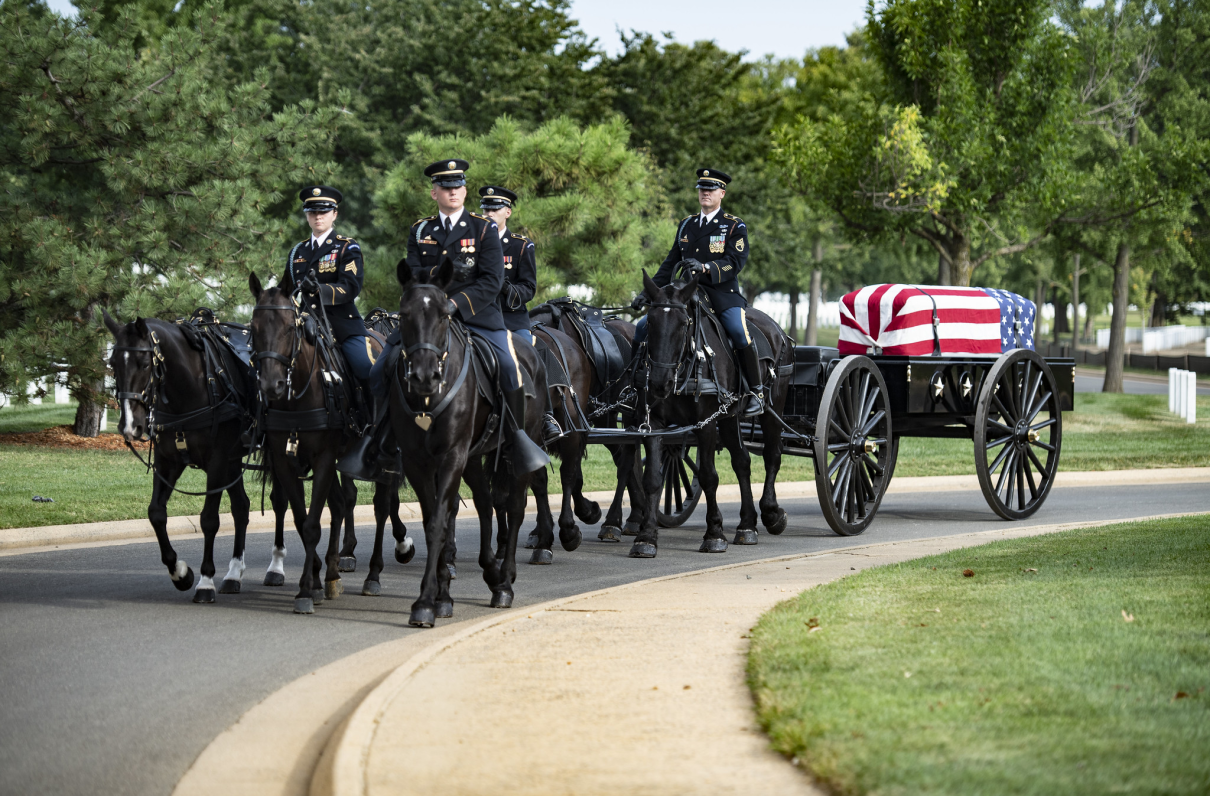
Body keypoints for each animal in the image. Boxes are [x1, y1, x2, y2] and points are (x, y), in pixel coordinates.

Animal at [104, 309, 255, 602]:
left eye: (144, 363)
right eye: (113, 363)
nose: (129, 426)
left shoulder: (217, 463)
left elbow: (209, 520)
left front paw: (205, 581)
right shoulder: (168, 463)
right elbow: (156, 513)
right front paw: (180, 573)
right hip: (234, 462)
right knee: (242, 507)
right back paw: (234, 574)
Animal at [387, 257, 549, 624]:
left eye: (445, 315)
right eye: (404, 314)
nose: (423, 376)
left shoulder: (451, 456)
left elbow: (438, 524)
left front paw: (425, 602)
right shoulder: (418, 462)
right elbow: (436, 521)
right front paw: (440, 595)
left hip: (517, 449)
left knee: (515, 507)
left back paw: (505, 582)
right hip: (474, 457)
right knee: (486, 503)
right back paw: (491, 572)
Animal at [629, 269, 798, 554]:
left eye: (683, 323)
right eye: (650, 322)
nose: (660, 383)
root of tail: (779, 331)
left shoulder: (705, 423)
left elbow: (709, 476)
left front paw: (714, 533)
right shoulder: (654, 423)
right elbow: (652, 478)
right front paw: (646, 536)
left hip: (773, 407)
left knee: (772, 455)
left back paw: (771, 512)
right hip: (729, 418)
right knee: (742, 462)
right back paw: (746, 525)